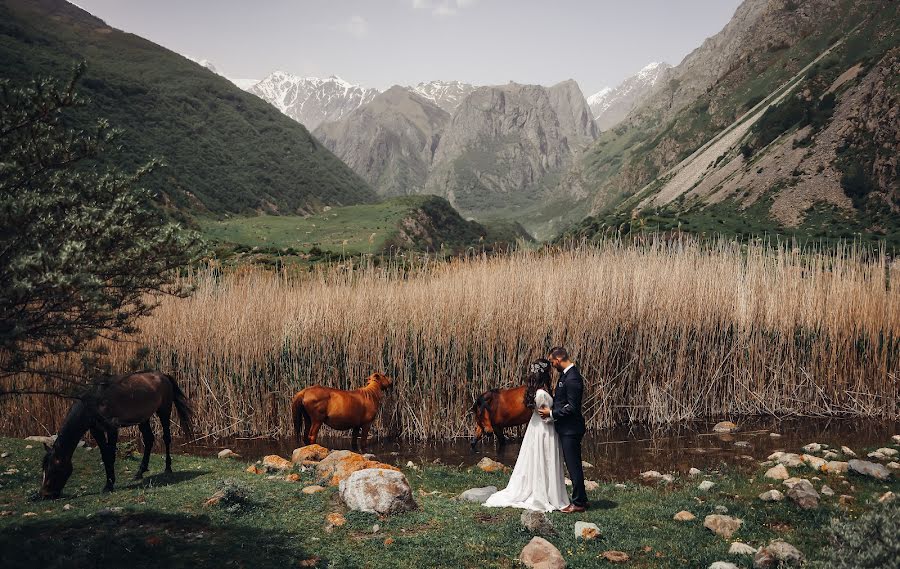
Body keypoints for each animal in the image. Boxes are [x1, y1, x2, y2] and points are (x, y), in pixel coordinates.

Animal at [41, 368, 192, 496]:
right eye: (43, 469)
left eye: (53, 469)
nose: (44, 494)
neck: (94, 401)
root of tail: (163, 375)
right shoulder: (96, 430)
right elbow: (105, 456)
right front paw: (109, 483)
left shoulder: (112, 429)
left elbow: (111, 455)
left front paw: (109, 485)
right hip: (144, 418)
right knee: (149, 440)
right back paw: (139, 472)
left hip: (164, 410)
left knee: (166, 438)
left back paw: (168, 468)